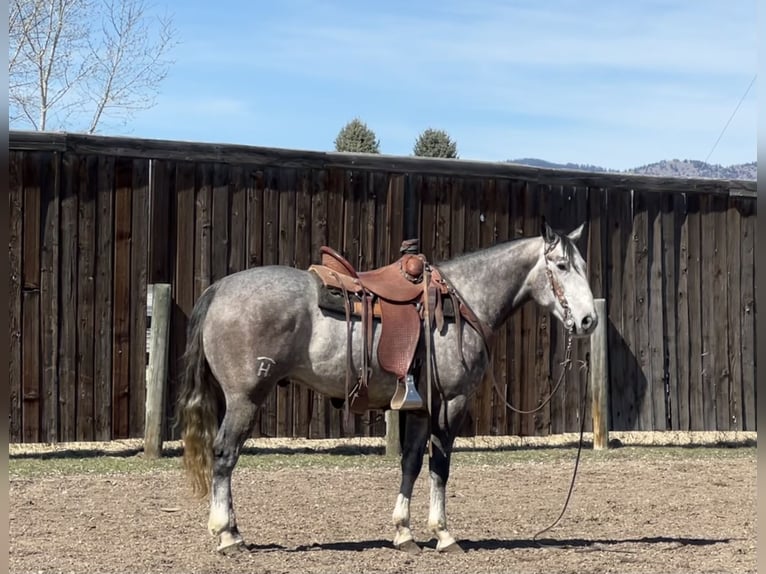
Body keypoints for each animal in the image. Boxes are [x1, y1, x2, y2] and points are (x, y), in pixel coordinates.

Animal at [178, 219, 600, 552]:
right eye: (562, 265)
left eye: (583, 265)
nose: (588, 320)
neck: (464, 301)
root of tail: (218, 290)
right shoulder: (452, 402)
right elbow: (440, 465)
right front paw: (443, 535)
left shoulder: (422, 406)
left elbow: (411, 462)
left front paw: (404, 532)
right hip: (245, 398)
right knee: (225, 454)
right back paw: (228, 537)